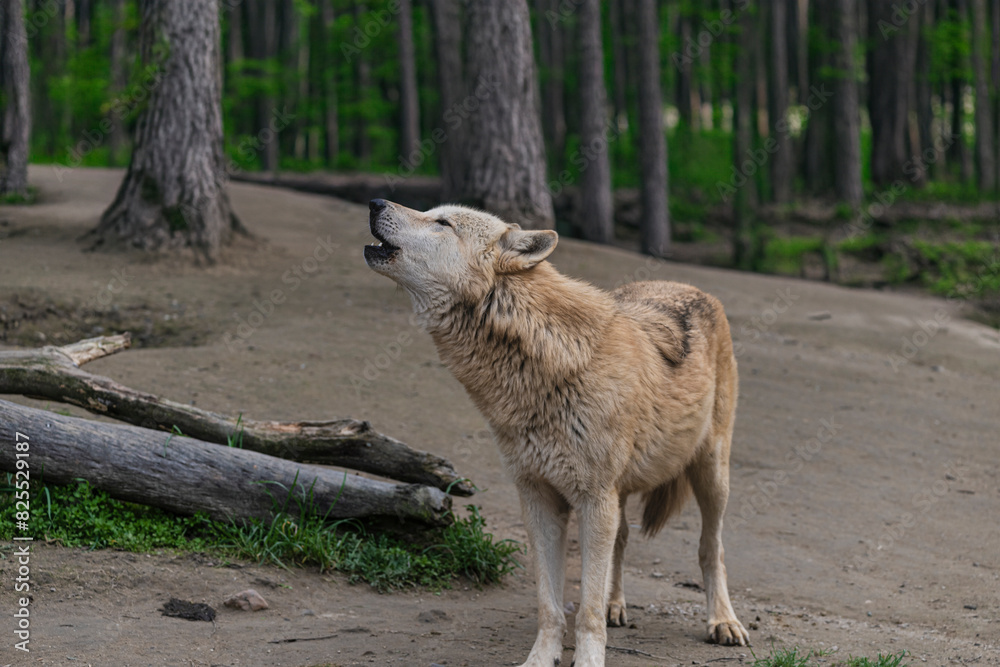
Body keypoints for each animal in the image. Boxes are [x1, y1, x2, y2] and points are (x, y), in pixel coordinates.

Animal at [364, 199, 749, 667]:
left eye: (442, 222)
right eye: (431, 212)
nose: (375, 203)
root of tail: (687, 285)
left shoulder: (593, 499)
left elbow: (585, 610)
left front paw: (587, 659)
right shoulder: (538, 498)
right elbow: (551, 604)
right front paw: (541, 658)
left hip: (710, 477)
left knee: (712, 549)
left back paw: (722, 622)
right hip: (621, 494)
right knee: (622, 542)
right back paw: (617, 605)